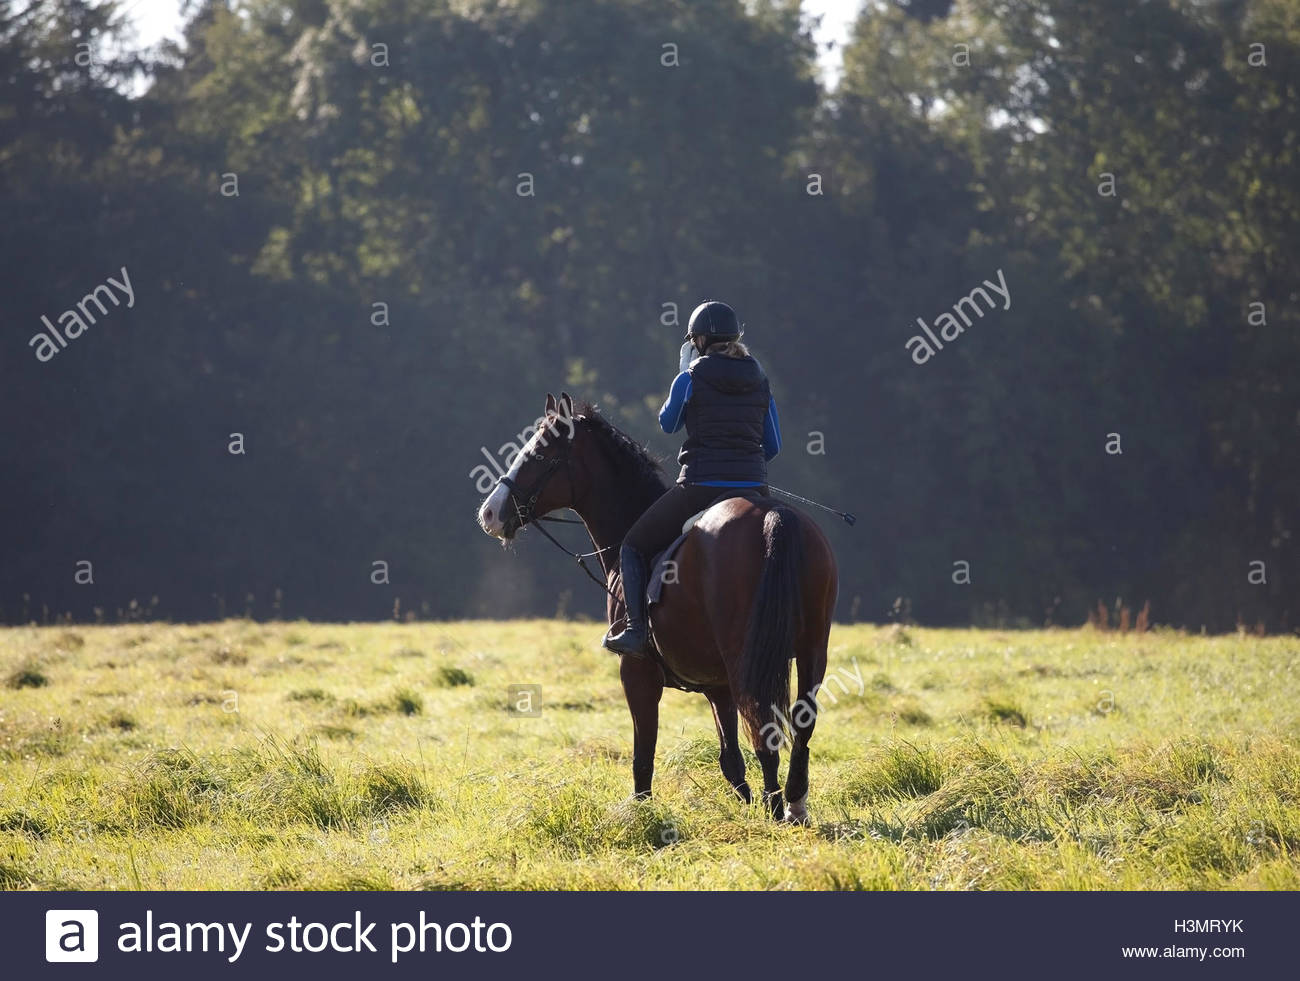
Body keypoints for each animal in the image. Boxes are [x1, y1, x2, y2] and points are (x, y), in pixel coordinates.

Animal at [477, 392, 839, 822]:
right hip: (811, 652)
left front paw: (640, 816)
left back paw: (778, 808)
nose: (489, 513)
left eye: (538, 455)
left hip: (748, 659)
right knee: (801, 724)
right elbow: (731, 762)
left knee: (763, 729)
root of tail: (773, 516)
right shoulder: (717, 686)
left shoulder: (637, 674)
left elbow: (643, 757)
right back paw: (793, 804)